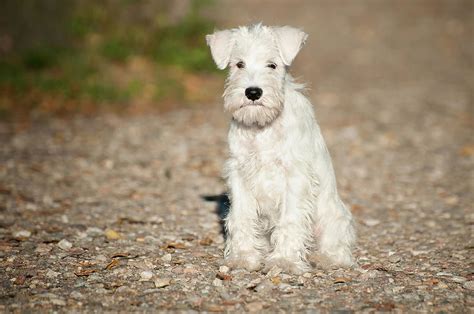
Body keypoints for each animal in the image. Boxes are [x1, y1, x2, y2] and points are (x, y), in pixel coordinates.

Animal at [206, 23, 354, 274]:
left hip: (332, 216)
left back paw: (325, 258)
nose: (253, 92)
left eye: (272, 65)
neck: (262, 128)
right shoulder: (239, 173)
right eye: (239, 64)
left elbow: (290, 220)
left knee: (337, 245)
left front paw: (284, 261)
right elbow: (241, 217)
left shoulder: (294, 176)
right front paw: (243, 257)